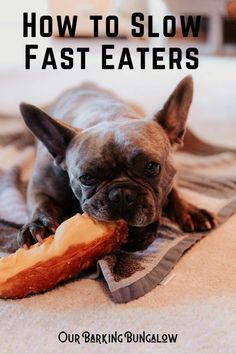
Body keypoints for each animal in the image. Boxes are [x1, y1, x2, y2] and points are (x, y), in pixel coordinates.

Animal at [18, 76, 218, 249]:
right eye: (86, 178)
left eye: (152, 167)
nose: (121, 195)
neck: (109, 115)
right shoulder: (39, 186)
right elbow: (41, 203)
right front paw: (39, 224)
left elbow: (175, 191)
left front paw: (191, 211)